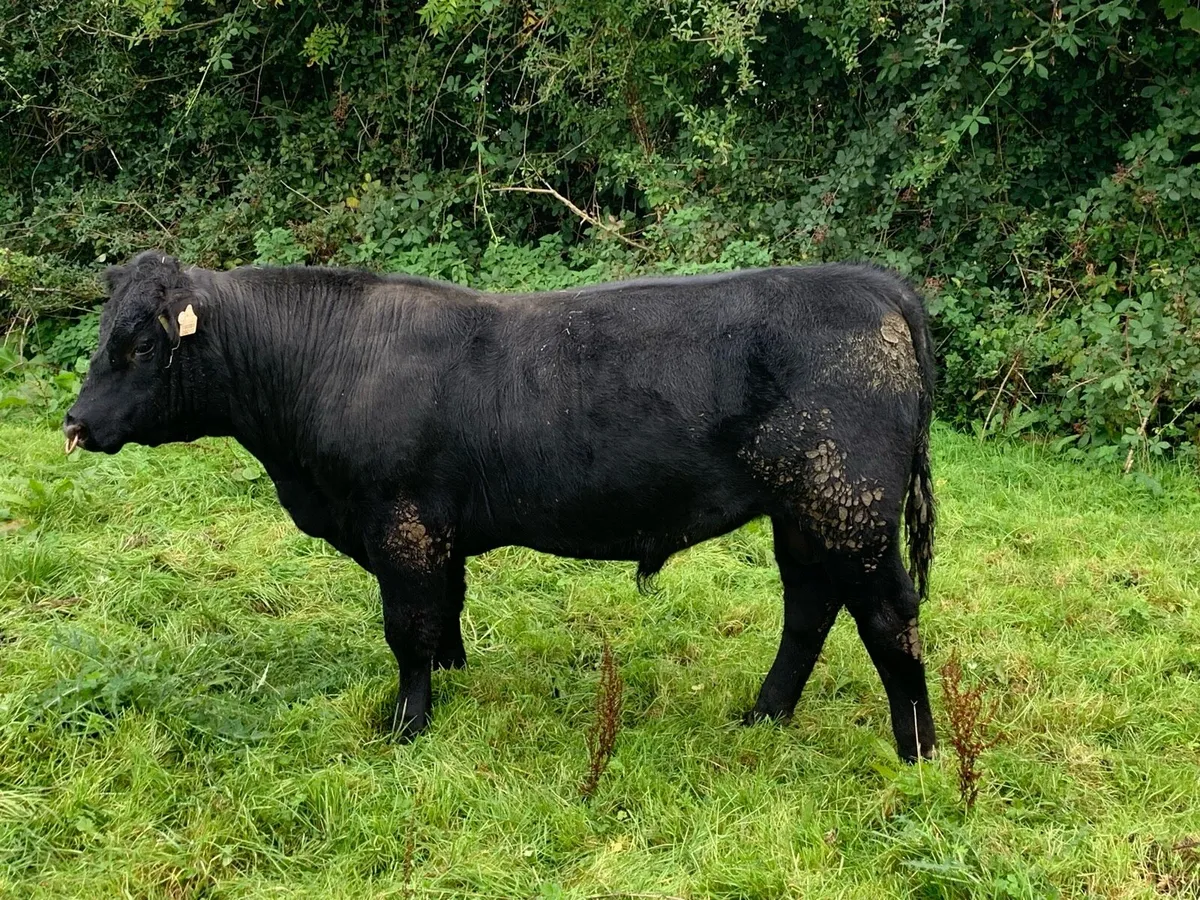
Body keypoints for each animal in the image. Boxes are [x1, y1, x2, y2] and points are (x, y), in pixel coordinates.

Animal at [63, 251, 938, 761]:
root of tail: (873, 281)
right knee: (810, 609)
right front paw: (455, 675)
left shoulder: (399, 525)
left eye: (137, 345)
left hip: (848, 508)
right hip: (806, 515)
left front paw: (407, 726)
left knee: (888, 617)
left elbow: (407, 630)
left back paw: (920, 749)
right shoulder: (437, 531)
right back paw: (765, 715)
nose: (74, 423)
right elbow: (446, 610)